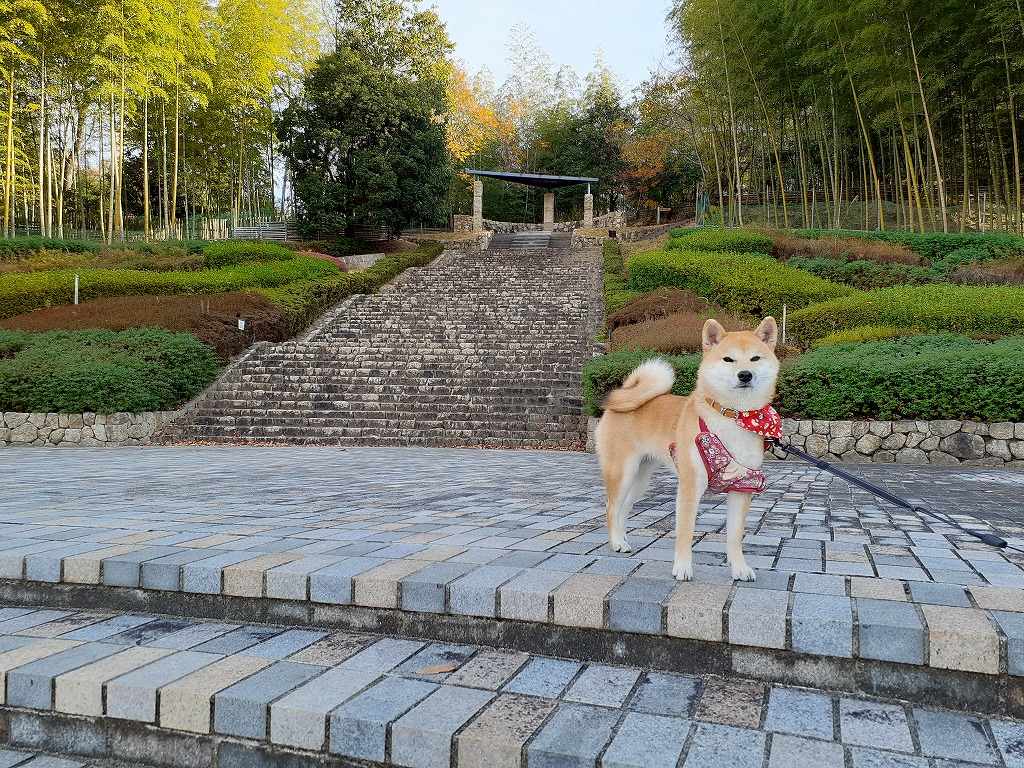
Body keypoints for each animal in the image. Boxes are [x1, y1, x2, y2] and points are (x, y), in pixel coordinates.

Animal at [598, 319, 778, 581]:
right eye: (728, 359)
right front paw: (682, 567)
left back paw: (622, 540)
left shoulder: (742, 484)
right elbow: (684, 532)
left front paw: (740, 568)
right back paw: (616, 543)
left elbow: (735, 536)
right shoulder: (691, 484)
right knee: (611, 507)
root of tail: (624, 394)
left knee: (624, 507)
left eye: (755, 358)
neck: (734, 417)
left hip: (640, 480)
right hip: (623, 472)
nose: (745, 374)